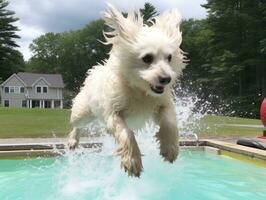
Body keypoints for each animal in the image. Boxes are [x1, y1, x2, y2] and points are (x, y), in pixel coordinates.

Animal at [67, 3, 186, 177]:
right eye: (147, 58)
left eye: (169, 58)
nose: (166, 79)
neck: (140, 90)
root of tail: (96, 70)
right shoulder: (113, 113)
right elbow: (126, 133)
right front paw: (132, 160)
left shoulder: (163, 104)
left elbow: (170, 122)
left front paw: (170, 148)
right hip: (84, 113)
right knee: (76, 124)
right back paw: (73, 140)